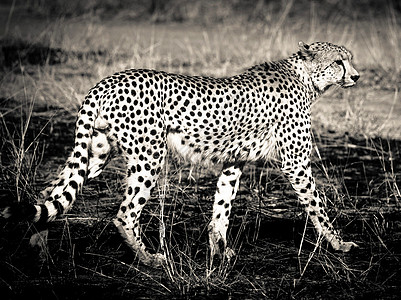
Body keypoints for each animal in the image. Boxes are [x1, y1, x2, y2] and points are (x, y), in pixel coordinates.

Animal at [2, 41, 360, 266]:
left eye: (350, 59)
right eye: (338, 62)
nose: (356, 75)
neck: (306, 79)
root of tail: (107, 80)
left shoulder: (233, 162)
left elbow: (222, 208)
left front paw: (221, 252)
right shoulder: (295, 164)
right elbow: (317, 207)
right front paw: (339, 243)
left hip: (95, 154)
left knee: (51, 193)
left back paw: (39, 245)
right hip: (149, 155)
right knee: (125, 214)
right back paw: (149, 259)